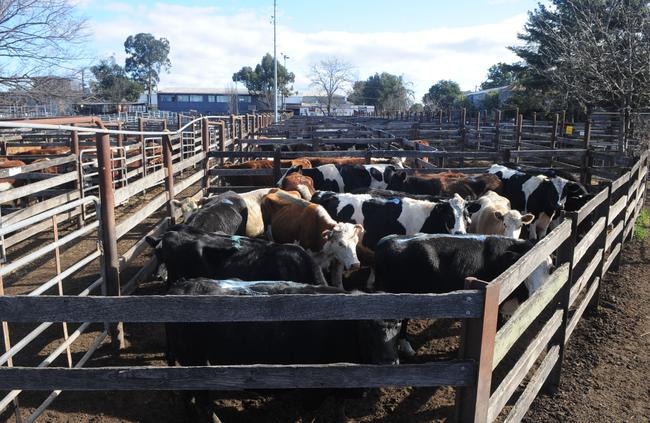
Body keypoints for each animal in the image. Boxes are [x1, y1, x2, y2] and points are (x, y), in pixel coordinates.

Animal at [165, 278, 400, 423]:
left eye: (399, 324)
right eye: (367, 326)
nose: (388, 361)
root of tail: (183, 285)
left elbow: (340, 408)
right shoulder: (314, 386)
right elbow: (309, 415)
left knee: (189, 396)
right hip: (195, 360)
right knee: (203, 402)